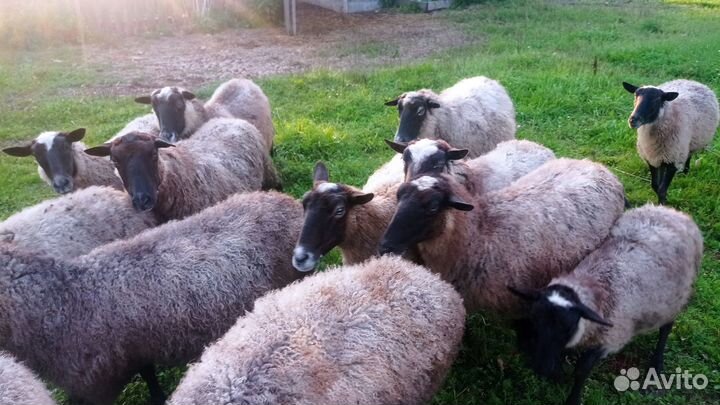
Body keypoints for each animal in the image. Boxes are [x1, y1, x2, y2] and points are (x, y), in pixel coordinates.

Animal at [508, 204, 702, 405]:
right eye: (534, 322)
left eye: (568, 327)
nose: (542, 369)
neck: (595, 288)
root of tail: (671, 212)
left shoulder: (610, 338)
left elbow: (582, 370)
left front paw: (573, 398)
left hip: (674, 297)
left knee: (666, 327)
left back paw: (656, 364)